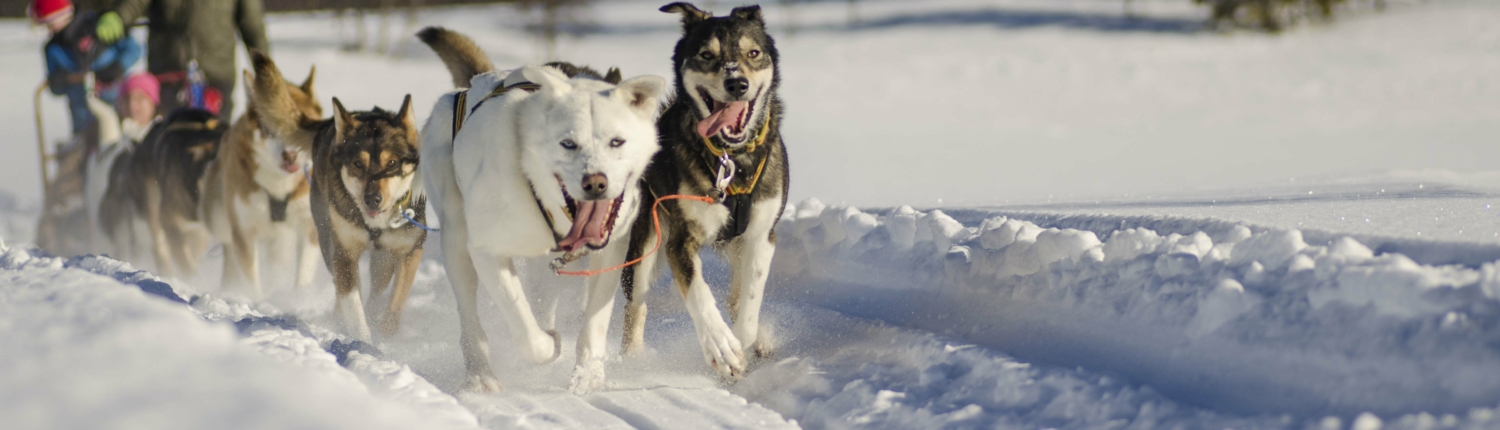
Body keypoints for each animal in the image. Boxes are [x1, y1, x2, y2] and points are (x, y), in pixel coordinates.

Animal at [198, 60, 321, 298]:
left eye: (301, 130)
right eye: (270, 129)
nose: (290, 155)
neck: (278, 187)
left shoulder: (308, 226)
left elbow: (303, 273)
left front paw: (299, 299)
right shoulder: (243, 231)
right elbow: (251, 278)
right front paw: (257, 301)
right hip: (218, 218)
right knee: (229, 252)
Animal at [414, 27, 666, 395]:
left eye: (617, 142)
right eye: (568, 143)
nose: (596, 183)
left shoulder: (612, 247)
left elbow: (594, 321)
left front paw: (588, 374)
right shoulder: (486, 250)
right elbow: (526, 330)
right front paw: (550, 345)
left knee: (543, 299)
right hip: (456, 240)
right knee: (472, 319)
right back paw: (481, 374)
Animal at [615, 2, 792, 380]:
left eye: (753, 53)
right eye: (706, 55)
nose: (737, 82)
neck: (731, 158)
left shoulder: (761, 236)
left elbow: (748, 302)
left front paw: (745, 341)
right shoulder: (681, 241)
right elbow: (699, 293)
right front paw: (721, 346)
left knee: (736, 297)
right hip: (644, 245)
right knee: (636, 305)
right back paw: (633, 359)